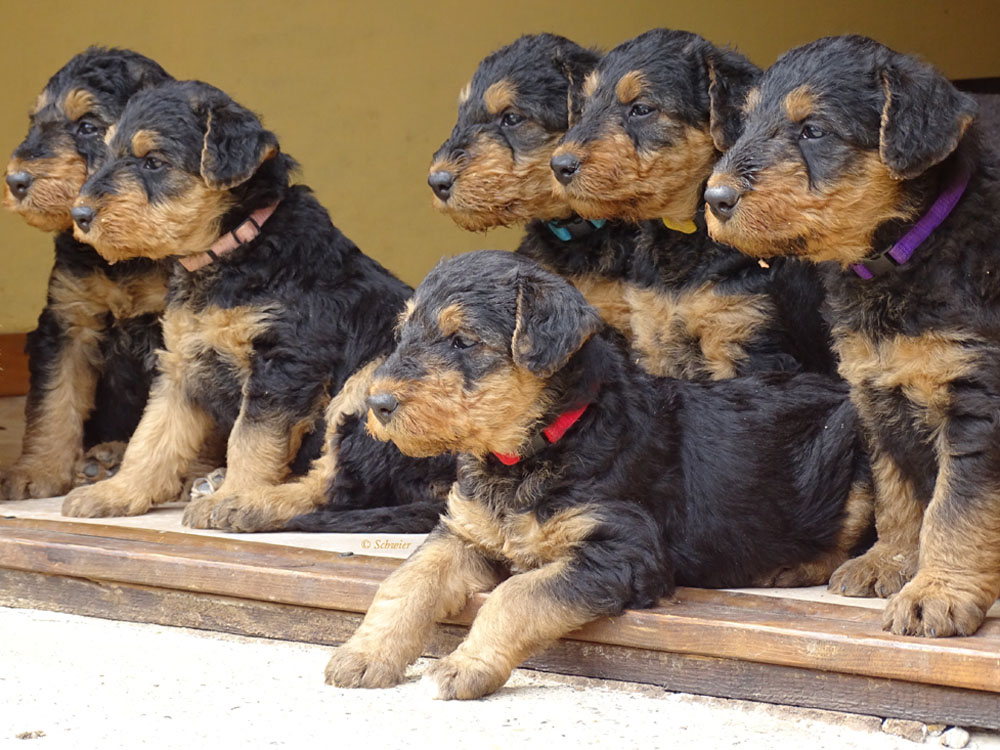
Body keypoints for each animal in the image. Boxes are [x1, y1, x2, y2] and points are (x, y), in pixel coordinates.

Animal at [1, 50, 173, 502]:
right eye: (35, 121)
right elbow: (54, 402)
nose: (15, 181)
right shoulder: (67, 322)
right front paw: (38, 473)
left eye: (88, 126)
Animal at [59, 79, 454, 532]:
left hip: (371, 381)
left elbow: (251, 439)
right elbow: (152, 435)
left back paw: (247, 503)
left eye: (153, 162)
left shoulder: (283, 361)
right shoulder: (180, 365)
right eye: (105, 154)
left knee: (337, 486)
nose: (80, 214)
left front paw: (232, 494)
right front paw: (117, 492)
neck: (233, 251)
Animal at [324, 251, 872, 700]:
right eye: (403, 334)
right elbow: (405, 580)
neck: (533, 451)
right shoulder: (464, 532)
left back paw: (791, 568)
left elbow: (515, 596)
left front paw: (466, 667)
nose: (377, 403)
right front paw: (363, 655)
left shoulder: (623, 550)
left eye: (463, 341)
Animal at [556, 29, 836, 382]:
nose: (559, 166)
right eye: (584, 106)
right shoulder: (652, 335)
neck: (686, 233)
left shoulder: (743, 336)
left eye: (641, 108)